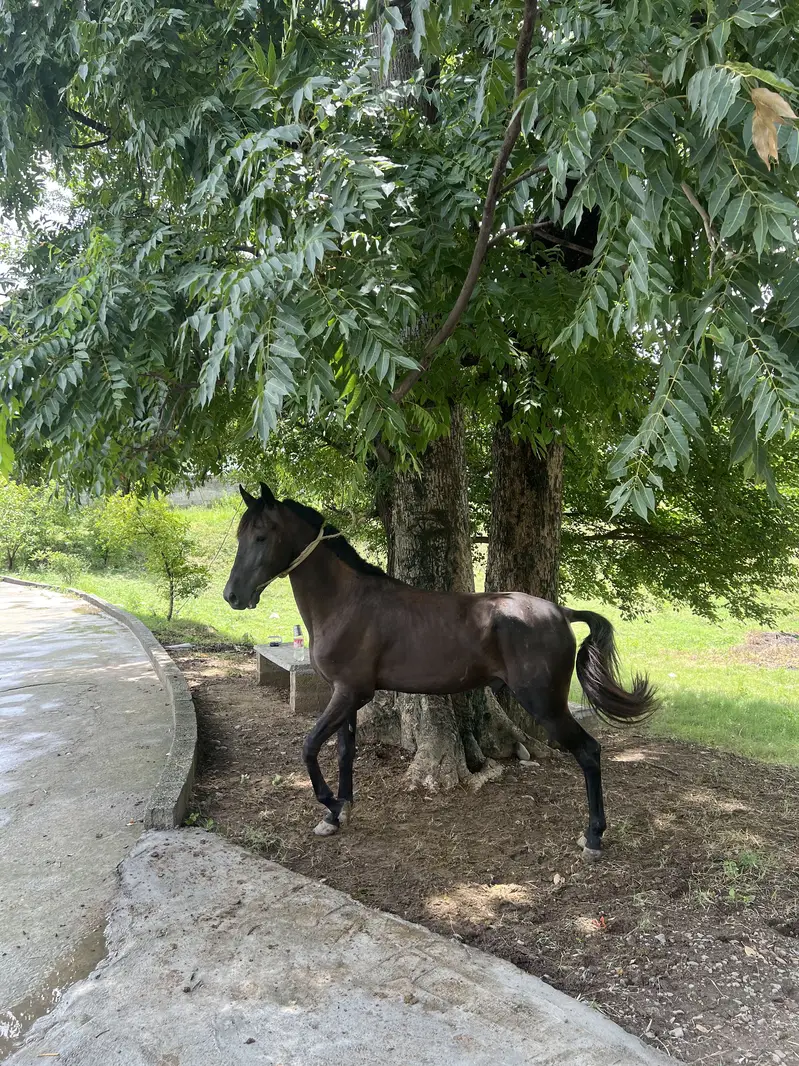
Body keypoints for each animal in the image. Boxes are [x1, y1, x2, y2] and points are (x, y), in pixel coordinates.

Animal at [224, 483, 657, 858]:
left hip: (546, 704)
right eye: (241, 536)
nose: (232, 596)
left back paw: (593, 837)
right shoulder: (346, 695)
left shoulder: (349, 692)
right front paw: (337, 813)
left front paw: (329, 802)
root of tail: (560, 612)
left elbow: (310, 746)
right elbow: (345, 751)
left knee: (589, 752)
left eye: (261, 536)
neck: (347, 602)